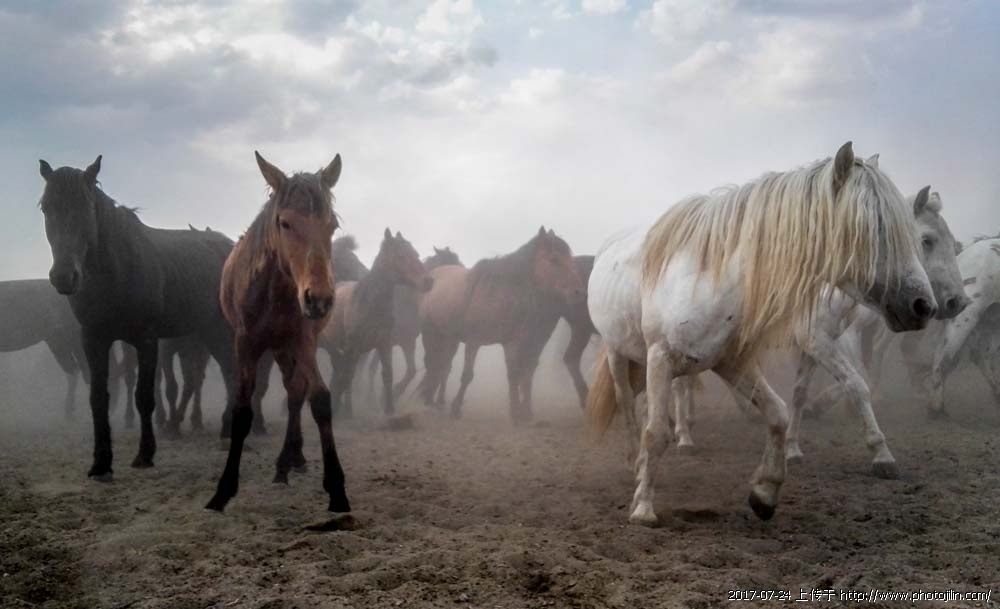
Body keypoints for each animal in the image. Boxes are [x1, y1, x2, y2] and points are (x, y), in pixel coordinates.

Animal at [38, 156, 239, 481]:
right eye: (46, 207)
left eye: (87, 206)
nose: (65, 277)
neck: (117, 271)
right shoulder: (94, 339)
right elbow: (99, 397)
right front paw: (101, 463)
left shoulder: (146, 339)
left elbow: (145, 396)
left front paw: (145, 454)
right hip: (208, 331)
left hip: (220, 330)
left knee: (231, 373)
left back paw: (228, 433)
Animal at [205, 151, 349, 515]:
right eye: (284, 223)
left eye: (332, 225)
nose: (319, 299)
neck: (274, 292)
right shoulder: (245, 343)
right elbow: (243, 408)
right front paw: (223, 490)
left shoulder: (304, 340)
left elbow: (319, 400)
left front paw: (336, 488)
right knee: (291, 389)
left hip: (288, 346)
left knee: (296, 392)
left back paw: (289, 461)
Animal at [418, 227, 585, 423]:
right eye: (554, 259)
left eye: (570, 259)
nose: (579, 292)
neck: (497, 294)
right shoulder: (473, 342)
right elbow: (467, 375)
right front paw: (456, 408)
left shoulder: (511, 342)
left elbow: (513, 374)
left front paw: (516, 413)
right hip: (430, 332)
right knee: (433, 363)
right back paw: (430, 399)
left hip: (450, 337)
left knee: (443, 367)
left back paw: (437, 401)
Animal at [586, 142, 936, 526]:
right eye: (874, 226)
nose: (924, 305)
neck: (713, 280)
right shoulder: (662, 358)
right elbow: (655, 433)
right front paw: (644, 508)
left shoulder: (733, 363)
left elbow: (778, 414)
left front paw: (765, 493)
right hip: (619, 354)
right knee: (627, 407)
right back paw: (632, 464)